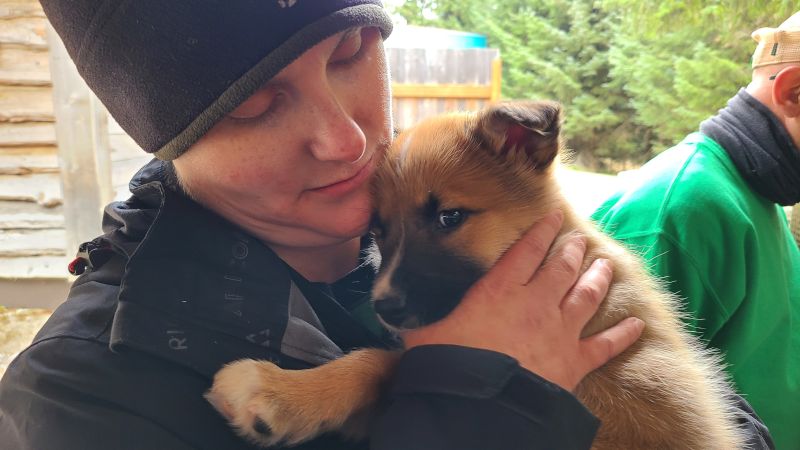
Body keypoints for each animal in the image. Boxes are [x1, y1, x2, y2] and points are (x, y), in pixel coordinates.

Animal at [209, 102, 748, 450]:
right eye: (377, 232)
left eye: (449, 217)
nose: (385, 308)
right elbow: (383, 362)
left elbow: (391, 361)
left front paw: (275, 390)